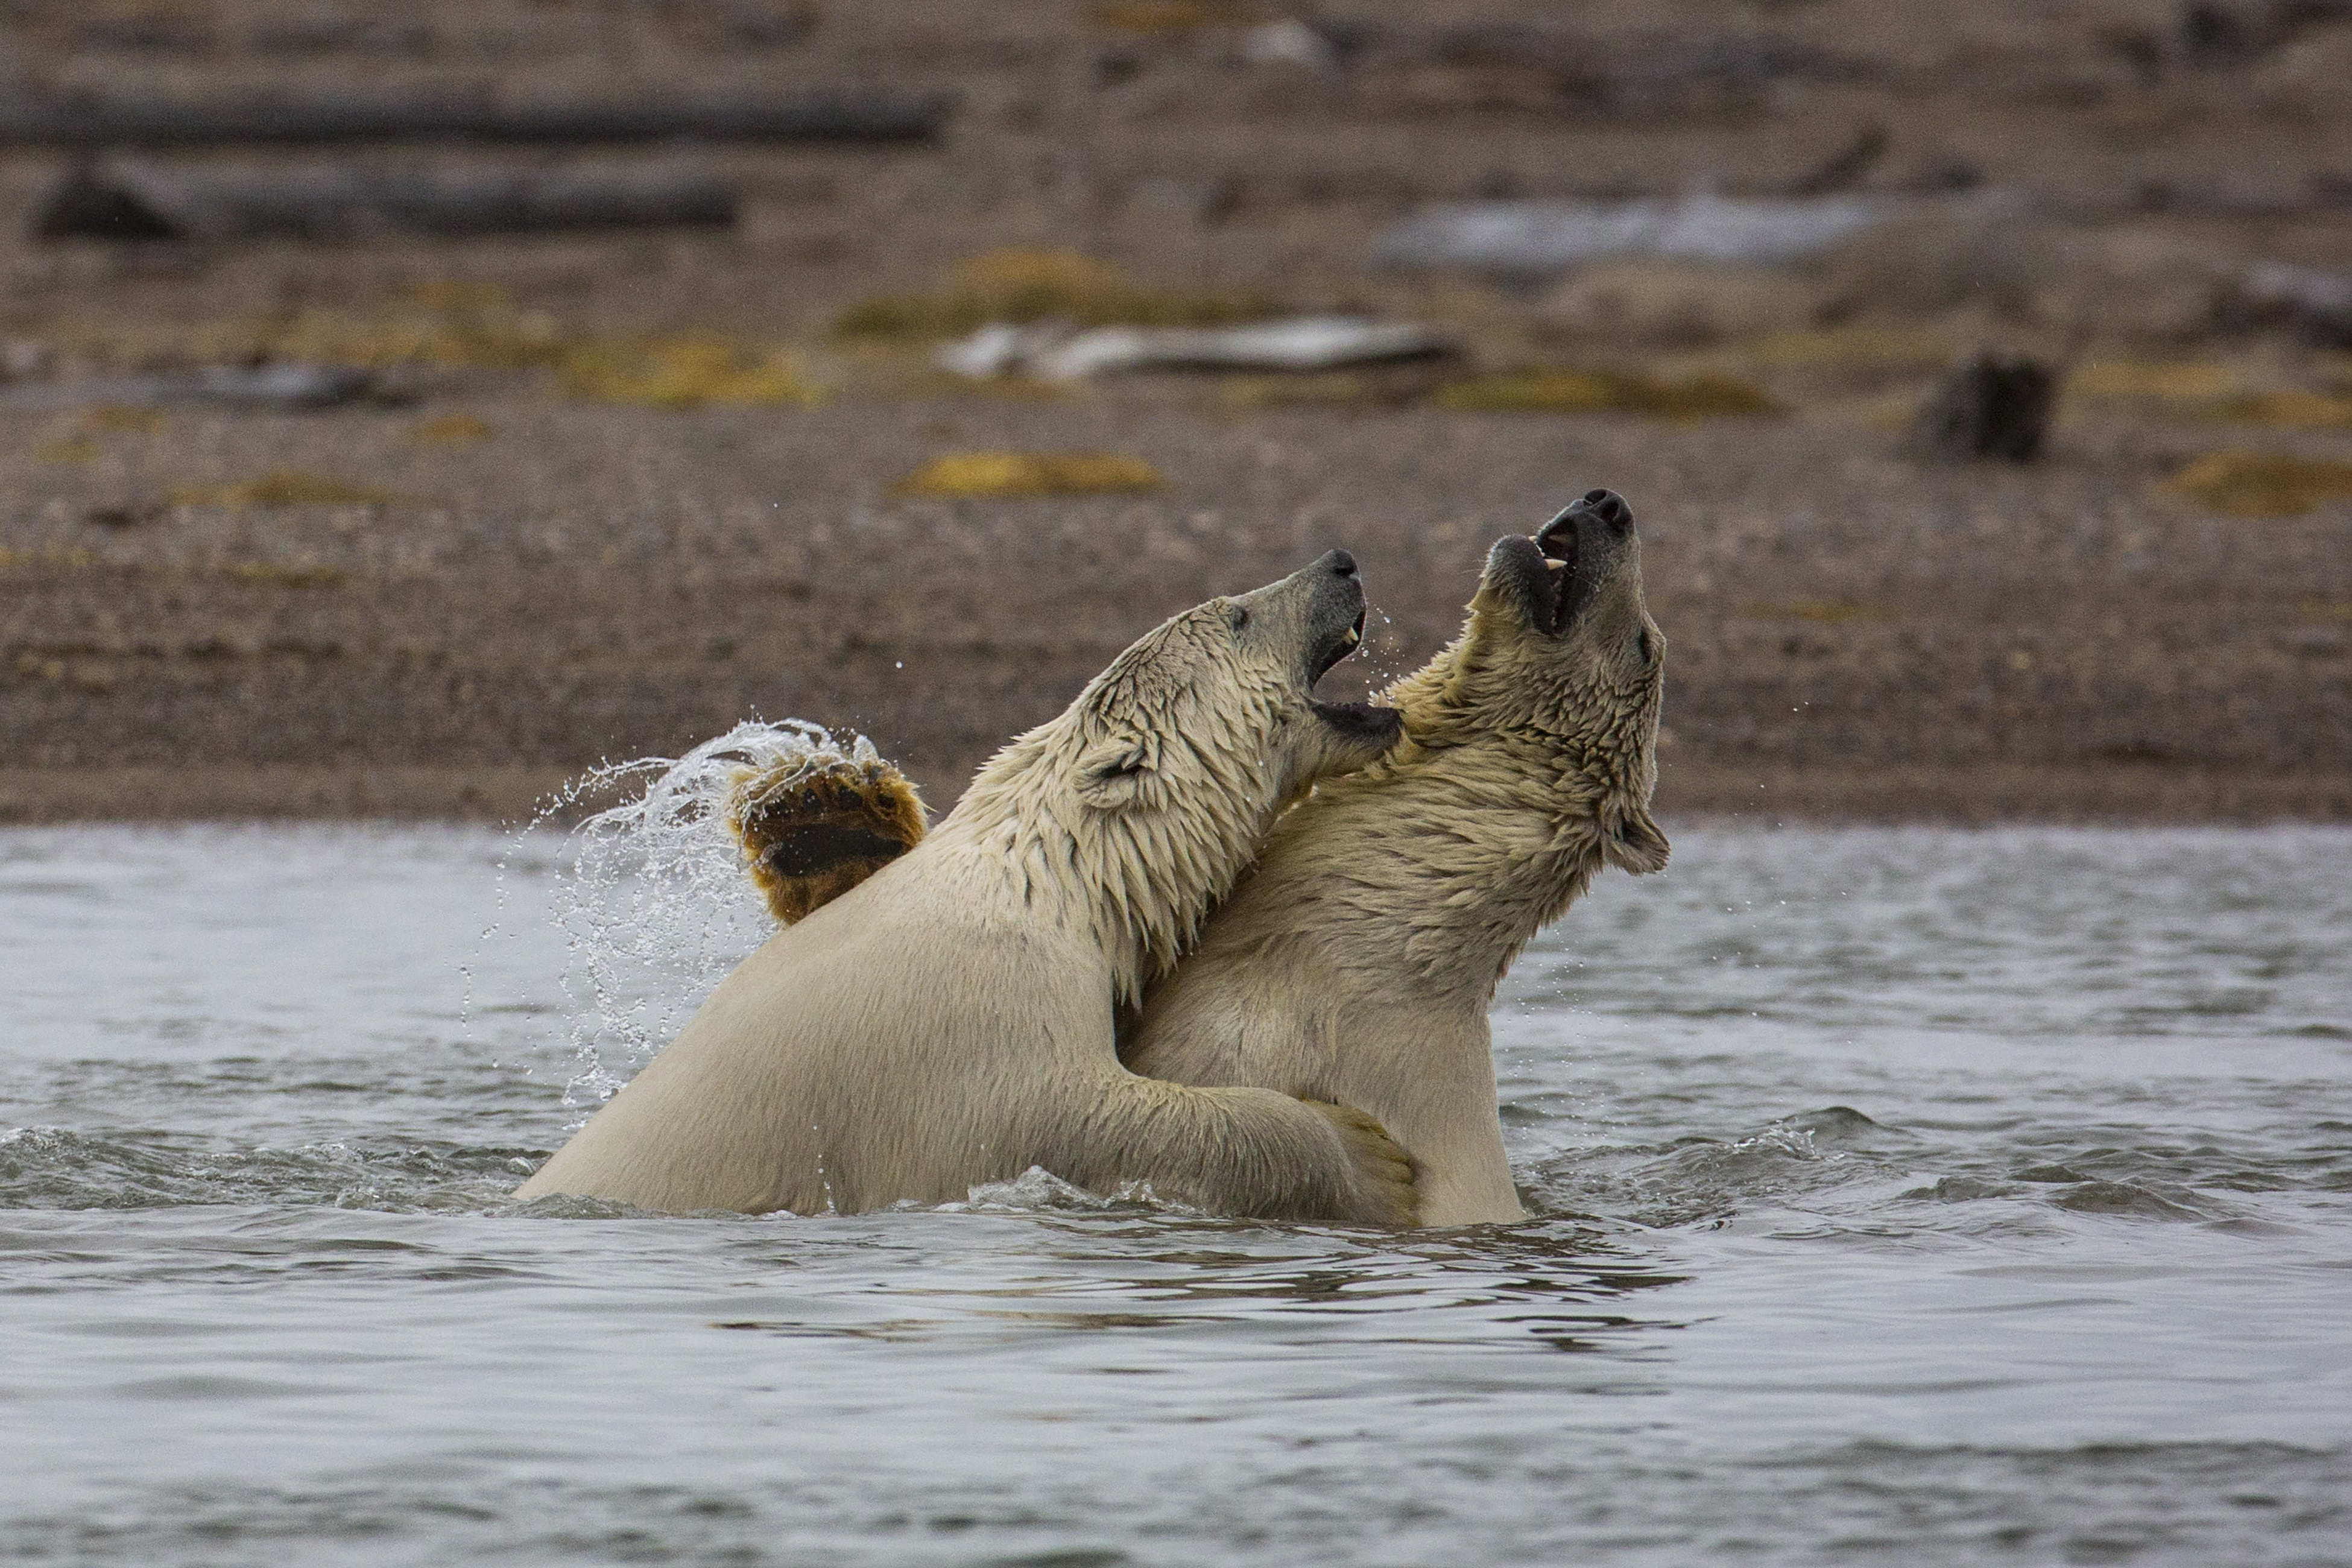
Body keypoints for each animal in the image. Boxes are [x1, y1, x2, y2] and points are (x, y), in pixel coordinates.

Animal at [515, 552, 1411, 1222]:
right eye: (1239, 616)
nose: (1340, 561)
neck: (1056, 875)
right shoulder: (980, 1031)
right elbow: (1103, 1121)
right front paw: (1370, 1156)